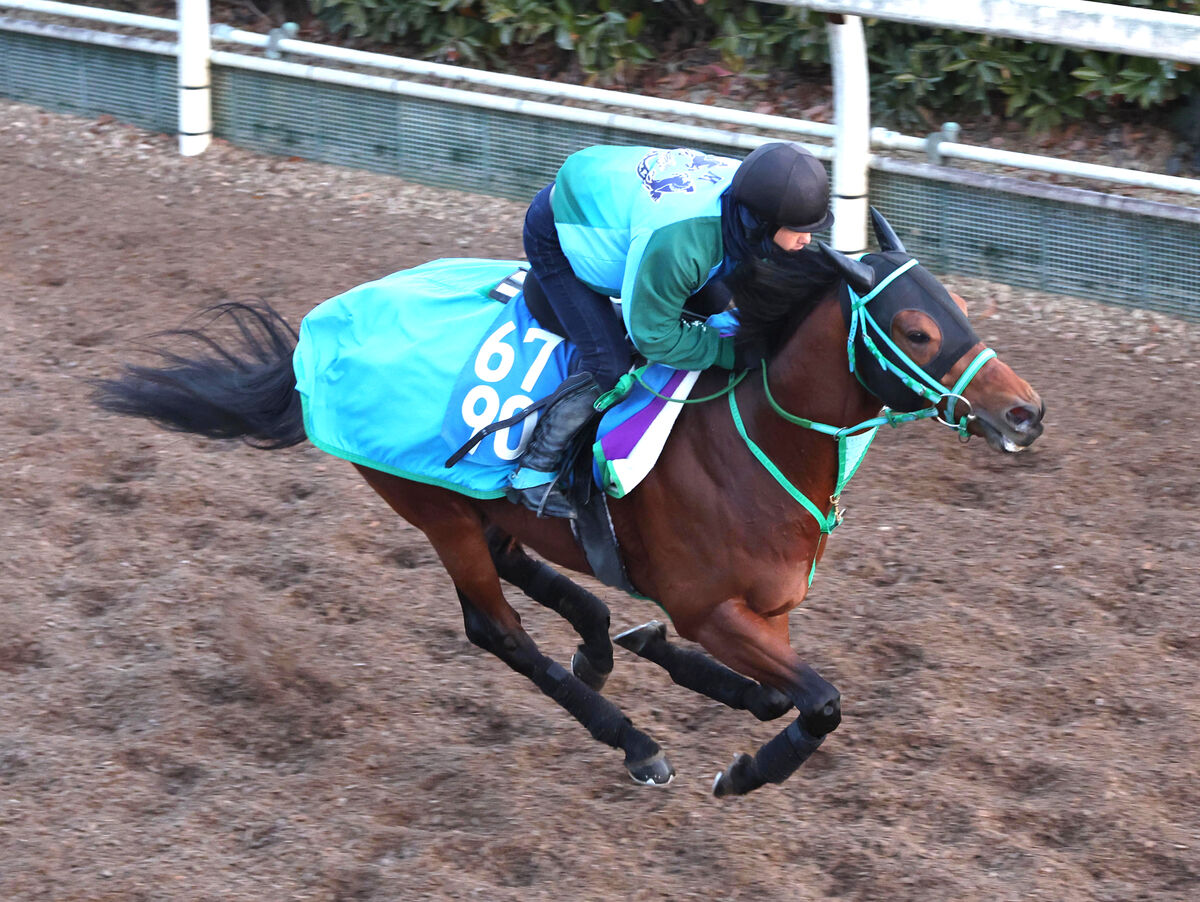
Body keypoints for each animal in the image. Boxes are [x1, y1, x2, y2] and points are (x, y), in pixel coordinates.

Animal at [93, 209, 1041, 796]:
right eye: (916, 330)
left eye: (960, 307)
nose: (1025, 412)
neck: (751, 445)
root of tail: (318, 335)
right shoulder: (712, 607)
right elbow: (820, 701)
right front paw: (741, 771)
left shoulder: (758, 614)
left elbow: (781, 693)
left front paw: (659, 653)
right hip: (434, 509)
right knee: (496, 628)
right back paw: (634, 742)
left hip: (483, 504)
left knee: (534, 573)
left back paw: (600, 642)